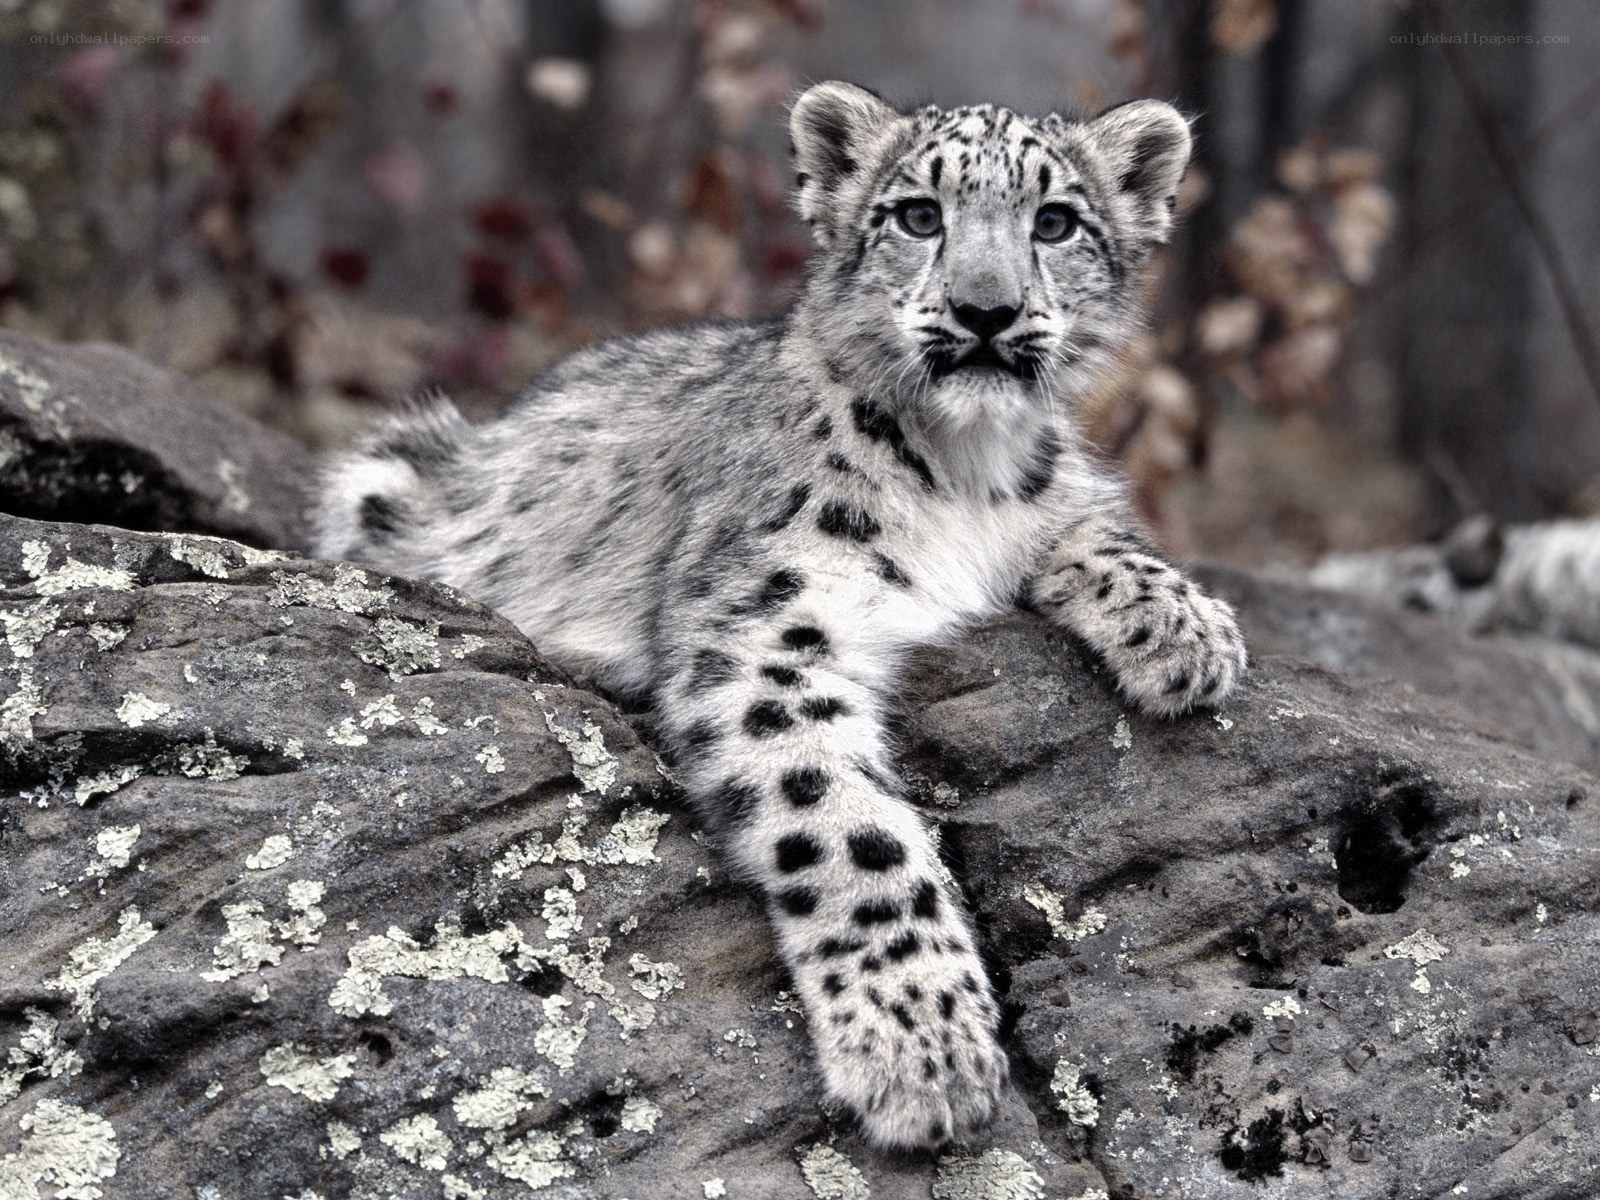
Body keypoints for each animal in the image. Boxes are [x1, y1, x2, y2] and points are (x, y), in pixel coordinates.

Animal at [313, 81, 1247, 1151]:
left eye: (1055, 223)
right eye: (916, 214)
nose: (987, 310)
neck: (964, 473)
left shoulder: (1049, 502)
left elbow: (1090, 522)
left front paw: (1190, 632)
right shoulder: (765, 632)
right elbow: (851, 830)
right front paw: (923, 1045)